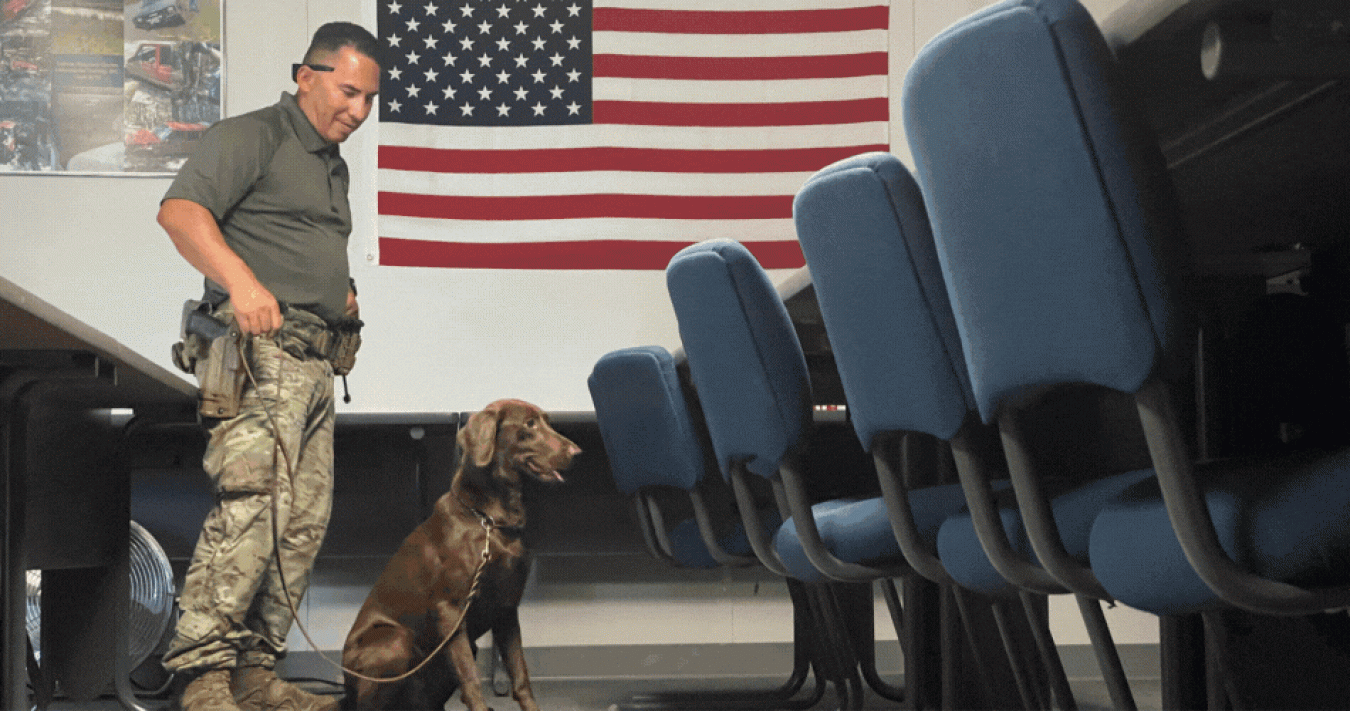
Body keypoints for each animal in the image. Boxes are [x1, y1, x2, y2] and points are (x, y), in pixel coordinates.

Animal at [340, 399, 577, 711]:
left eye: (547, 421)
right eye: (529, 425)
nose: (576, 452)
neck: (489, 521)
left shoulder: (507, 607)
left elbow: (520, 676)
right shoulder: (451, 611)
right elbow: (472, 681)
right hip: (394, 641)